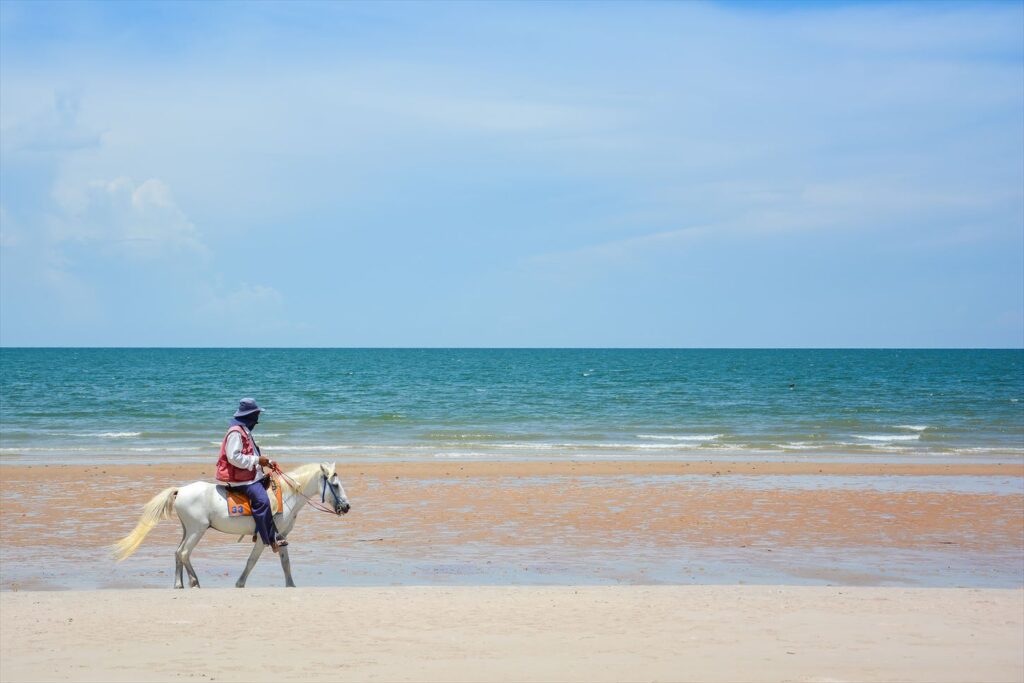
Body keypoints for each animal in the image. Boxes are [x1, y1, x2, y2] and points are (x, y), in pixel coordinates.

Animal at [113, 462, 348, 589]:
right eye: (335, 484)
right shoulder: (265, 536)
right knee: (184, 553)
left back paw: (179, 583)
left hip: (187, 530)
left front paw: (291, 585)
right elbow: (251, 561)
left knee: (178, 552)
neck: (287, 495)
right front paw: (240, 583)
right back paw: (194, 581)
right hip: (197, 530)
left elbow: (285, 563)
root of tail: (180, 491)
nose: (346, 507)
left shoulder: (281, 537)